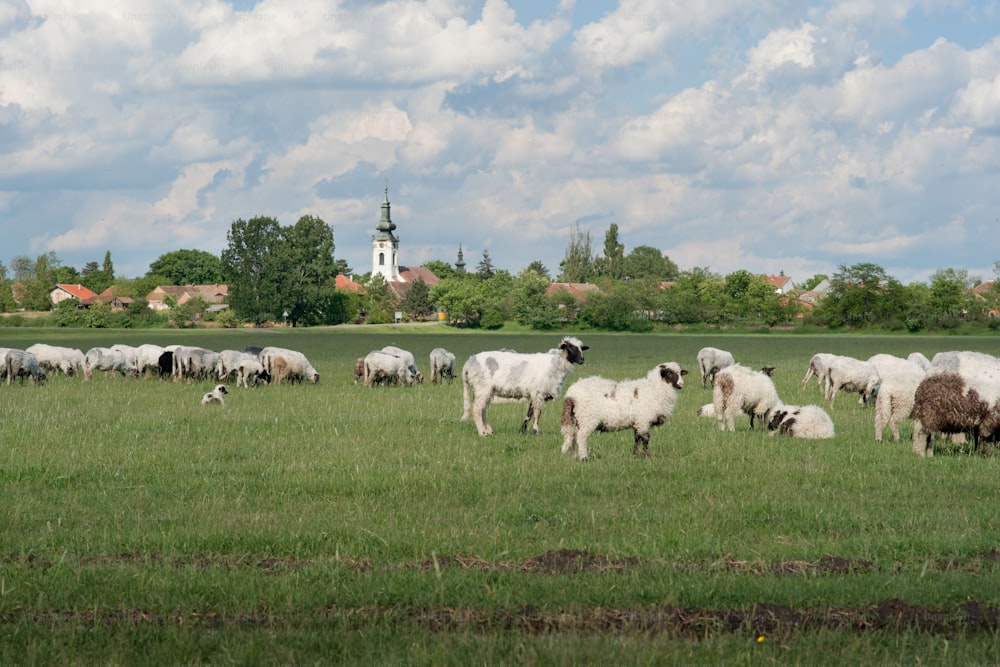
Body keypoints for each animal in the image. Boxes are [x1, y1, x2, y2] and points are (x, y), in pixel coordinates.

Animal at [560, 360, 692, 464]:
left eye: (680, 373)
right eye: (669, 373)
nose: (681, 384)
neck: (655, 389)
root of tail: (571, 394)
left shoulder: (638, 422)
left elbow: (637, 438)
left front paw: (635, 456)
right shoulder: (644, 420)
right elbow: (645, 439)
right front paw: (647, 457)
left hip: (576, 418)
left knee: (573, 436)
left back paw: (574, 457)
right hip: (587, 418)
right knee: (581, 437)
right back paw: (583, 458)